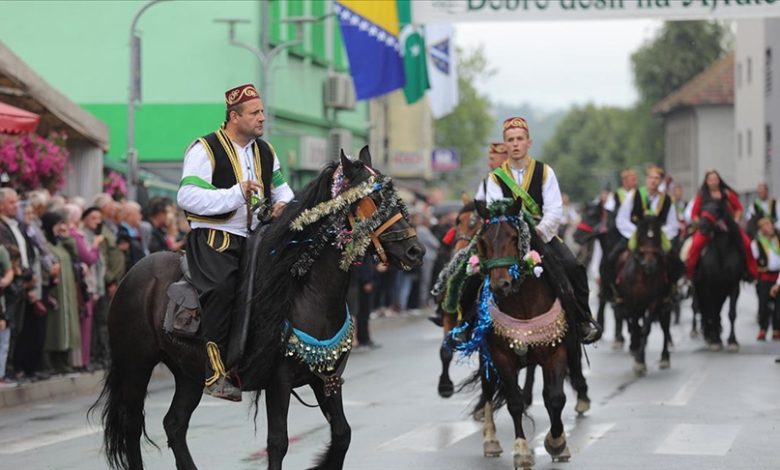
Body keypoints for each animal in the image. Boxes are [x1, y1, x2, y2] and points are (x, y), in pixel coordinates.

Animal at [91, 148, 426, 470]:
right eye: (375, 199)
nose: (416, 251)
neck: (307, 292)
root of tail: (134, 273)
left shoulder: (326, 378)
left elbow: (343, 433)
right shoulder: (278, 380)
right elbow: (278, 443)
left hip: (189, 372)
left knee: (174, 424)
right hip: (136, 364)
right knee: (133, 425)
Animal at [616, 216, 672, 374]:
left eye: (658, 235)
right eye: (640, 235)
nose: (650, 265)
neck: (643, 278)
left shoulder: (654, 302)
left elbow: (646, 328)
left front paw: (640, 361)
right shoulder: (631, 302)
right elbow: (635, 324)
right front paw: (635, 348)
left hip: (664, 304)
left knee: (665, 325)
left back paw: (665, 357)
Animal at [696, 200, 744, 350]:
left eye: (717, 210)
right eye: (702, 209)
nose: (702, 226)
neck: (723, 252)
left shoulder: (734, 286)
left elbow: (732, 313)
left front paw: (733, 341)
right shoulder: (710, 287)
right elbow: (712, 312)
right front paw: (715, 340)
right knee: (708, 311)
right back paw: (711, 335)